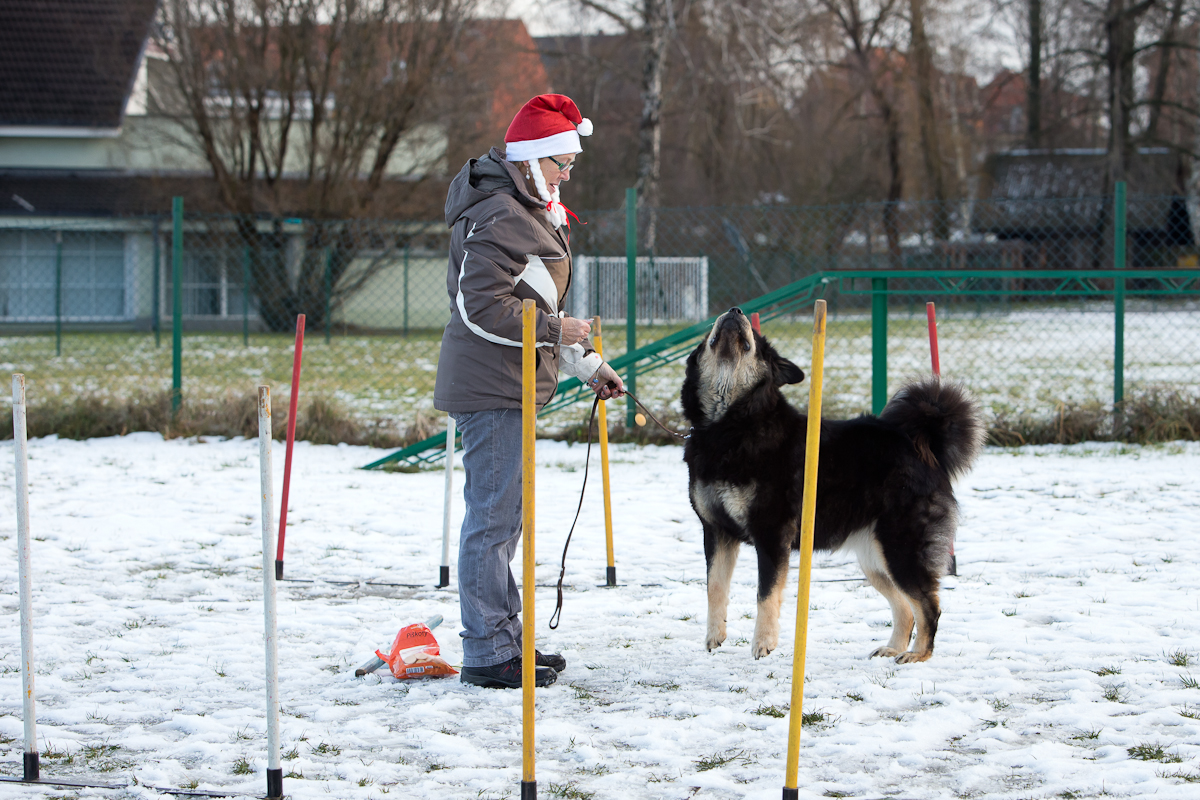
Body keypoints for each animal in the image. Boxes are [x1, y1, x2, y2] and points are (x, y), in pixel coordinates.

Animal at [686, 307, 984, 662]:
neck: (729, 428)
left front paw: (763, 643)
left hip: (901, 548)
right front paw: (714, 636)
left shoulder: (771, 533)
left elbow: (765, 593)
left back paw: (918, 655)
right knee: (905, 607)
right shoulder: (717, 531)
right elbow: (714, 587)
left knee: (929, 605)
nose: (735, 311)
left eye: (755, 340)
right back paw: (892, 649)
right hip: (875, 559)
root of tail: (921, 445)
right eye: (709, 335)